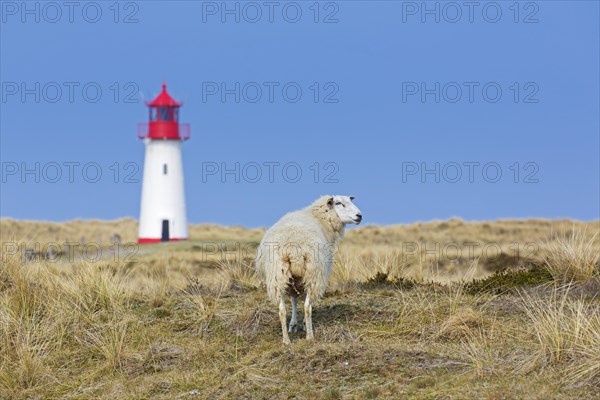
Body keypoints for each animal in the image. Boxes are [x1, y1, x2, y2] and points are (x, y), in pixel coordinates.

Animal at [254, 195, 360, 344]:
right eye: (339, 203)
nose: (359, 216)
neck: (319, 218)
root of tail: (293, 249)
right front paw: (302, 324)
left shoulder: (293, 279)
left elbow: (293, 300)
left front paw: (293, 324)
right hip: (313, 273)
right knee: (307, 306)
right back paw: (310, 336)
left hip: (278, 276)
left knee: (282, 310)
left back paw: (286, 340)